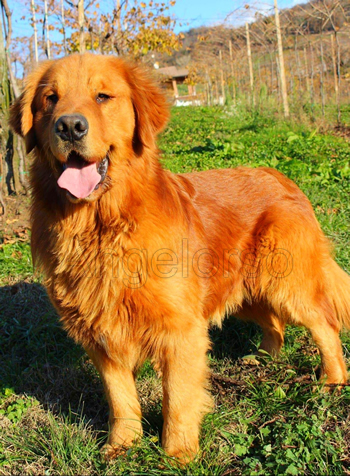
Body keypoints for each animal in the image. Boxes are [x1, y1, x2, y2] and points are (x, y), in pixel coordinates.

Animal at [9, 54, 350, 462]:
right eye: (50, 99)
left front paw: (178, 452)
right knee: (274, 323)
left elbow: (178, 397)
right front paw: (122, 445)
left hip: (285, 283)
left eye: (103, 96)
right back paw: (264, 359)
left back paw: (332, 381)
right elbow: (120, 397)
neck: (103, 224)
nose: (70, 126)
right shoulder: (98, 330)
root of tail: (282, 177)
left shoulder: (180, 329)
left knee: (325, 324)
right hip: (242, 290)